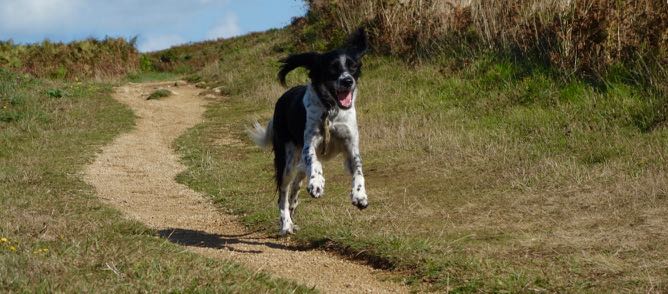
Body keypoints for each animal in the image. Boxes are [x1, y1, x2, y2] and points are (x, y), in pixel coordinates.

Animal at [249, 27, 368, 234]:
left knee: (295, 187)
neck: (331, 111)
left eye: (353, 67)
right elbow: (314, 161)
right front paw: (317, 183)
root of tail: (282, 99)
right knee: (283, 193)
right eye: (332, 68)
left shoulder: (351, 146)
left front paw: (360, 195)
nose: (348, 81)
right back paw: (286, 223)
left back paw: (293, 211)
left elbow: (359, 170)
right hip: (287, 160)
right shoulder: (309, 144)